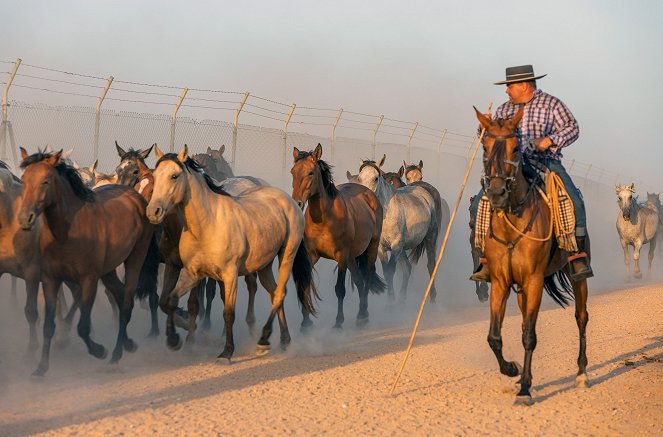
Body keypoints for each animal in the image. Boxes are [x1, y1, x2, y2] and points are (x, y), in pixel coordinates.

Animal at [19, 149, 157, 374]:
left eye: (45, 181)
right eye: (23, 180)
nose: (25, 218)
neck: (68, 231)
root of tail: (137, 197)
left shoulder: (89, 280)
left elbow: (83, 327)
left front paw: (99, 350)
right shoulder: (51, 278)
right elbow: (48, 325)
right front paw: (41, 369)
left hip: (135, 257)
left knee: (127, 302)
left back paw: (116, 354)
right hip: (108, 269)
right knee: (119, 296)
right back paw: (128, 343)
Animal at [290, 143, 384, 328]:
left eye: (310, 173)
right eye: (292, 172)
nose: (297, 202)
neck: (325, 219)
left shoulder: (341, 256)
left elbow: (339, 289)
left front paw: (338, 323)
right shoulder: (312, 255)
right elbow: (304, 284)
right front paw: (306, 323)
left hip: (371, 247)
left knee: (367, 276)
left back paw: (363, 314)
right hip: (352, 257)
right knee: (359, 279)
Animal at [356, 155, 438, 302]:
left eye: (375, 178)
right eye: (359, 178)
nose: (364, 198)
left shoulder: (396, 246)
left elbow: (390, 270)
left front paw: (390, 304)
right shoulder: (382, 248)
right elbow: (387, 272)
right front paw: (392, 300)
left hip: (430, 238)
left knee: (431, 265)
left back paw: (432, 298)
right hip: (403, 249)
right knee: (407, 268)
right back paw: (402, 299)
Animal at [478, 107, 592, 404]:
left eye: (516, 148)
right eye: (485, 146)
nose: (496, 192)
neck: (511, 223)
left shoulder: (534, 280)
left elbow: (529, 335)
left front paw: (526, 389)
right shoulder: (501, 281)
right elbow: (494, 337)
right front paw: (512, 370)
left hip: (576, 275)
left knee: (581, 316)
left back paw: (582, 373)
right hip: (520, 289)